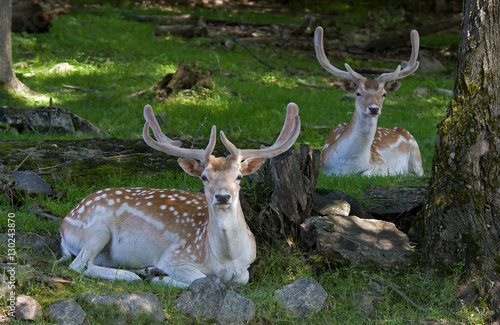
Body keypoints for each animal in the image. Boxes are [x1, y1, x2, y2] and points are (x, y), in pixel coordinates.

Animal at [58, 102, 300, 286]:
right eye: (204, 177)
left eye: (239, 177)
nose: (222, 196)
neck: (225, 258)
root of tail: (63, 225)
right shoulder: (175, 257)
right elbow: (202, 279)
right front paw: (160, 277)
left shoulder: (246, 265)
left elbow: (240, 278)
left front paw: (155, 274)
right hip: (96, 229)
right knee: (78, 265)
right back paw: (134, 275)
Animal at [314, 26, 424, 176]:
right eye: (358, 93)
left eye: (384, 94)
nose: (373, 109)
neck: (350, 165)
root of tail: (402, 129)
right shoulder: (325, 169)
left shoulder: (381, 163)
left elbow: (365, 174)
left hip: (417, 155)